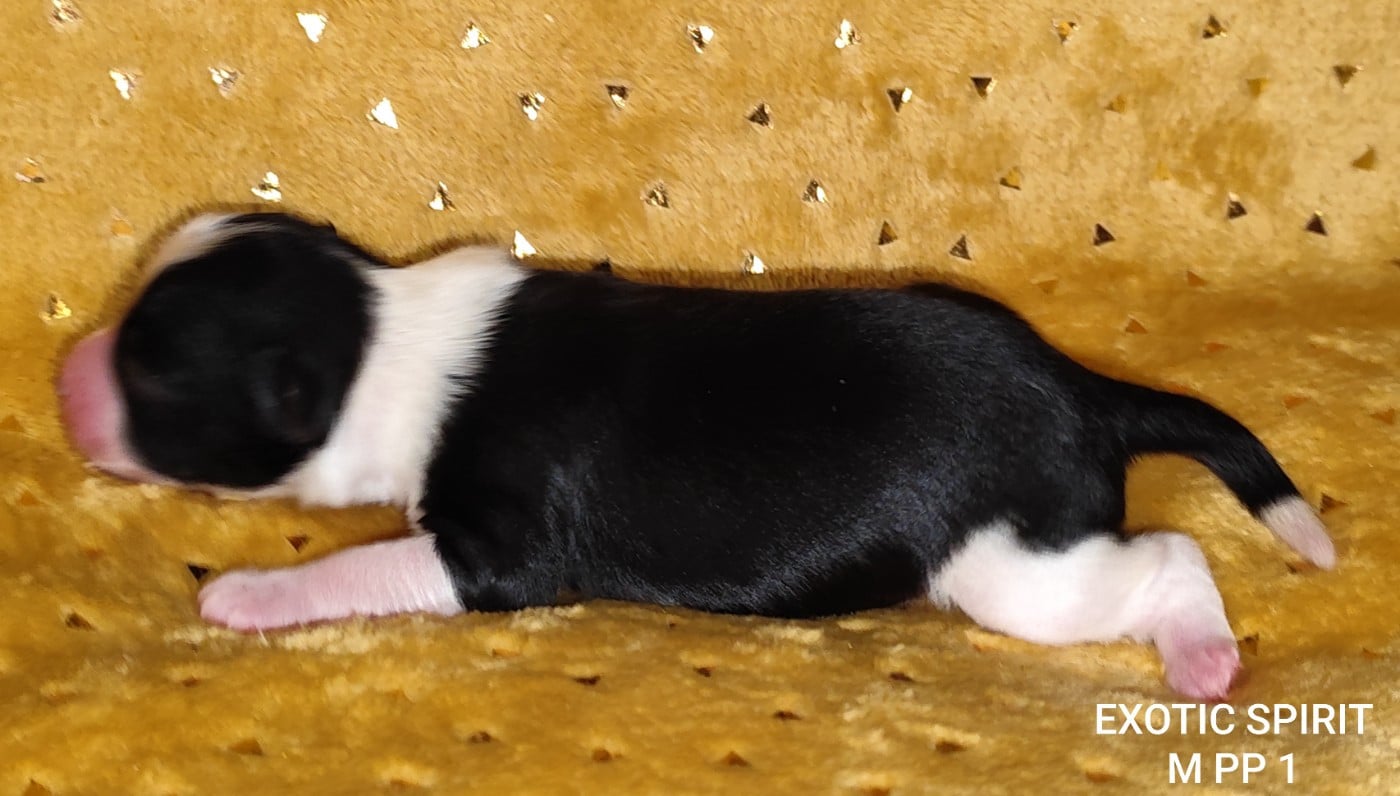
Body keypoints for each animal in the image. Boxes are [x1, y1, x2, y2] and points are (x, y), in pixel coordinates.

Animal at [57, 211, 1335, 700]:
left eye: (152, 367)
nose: (64, 372)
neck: (380, 329)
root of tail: (1079, 388)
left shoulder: (496, 551)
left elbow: (354, 563)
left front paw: (250, 592)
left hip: (1016, 566)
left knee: (1164, 558)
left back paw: (1199, 653)